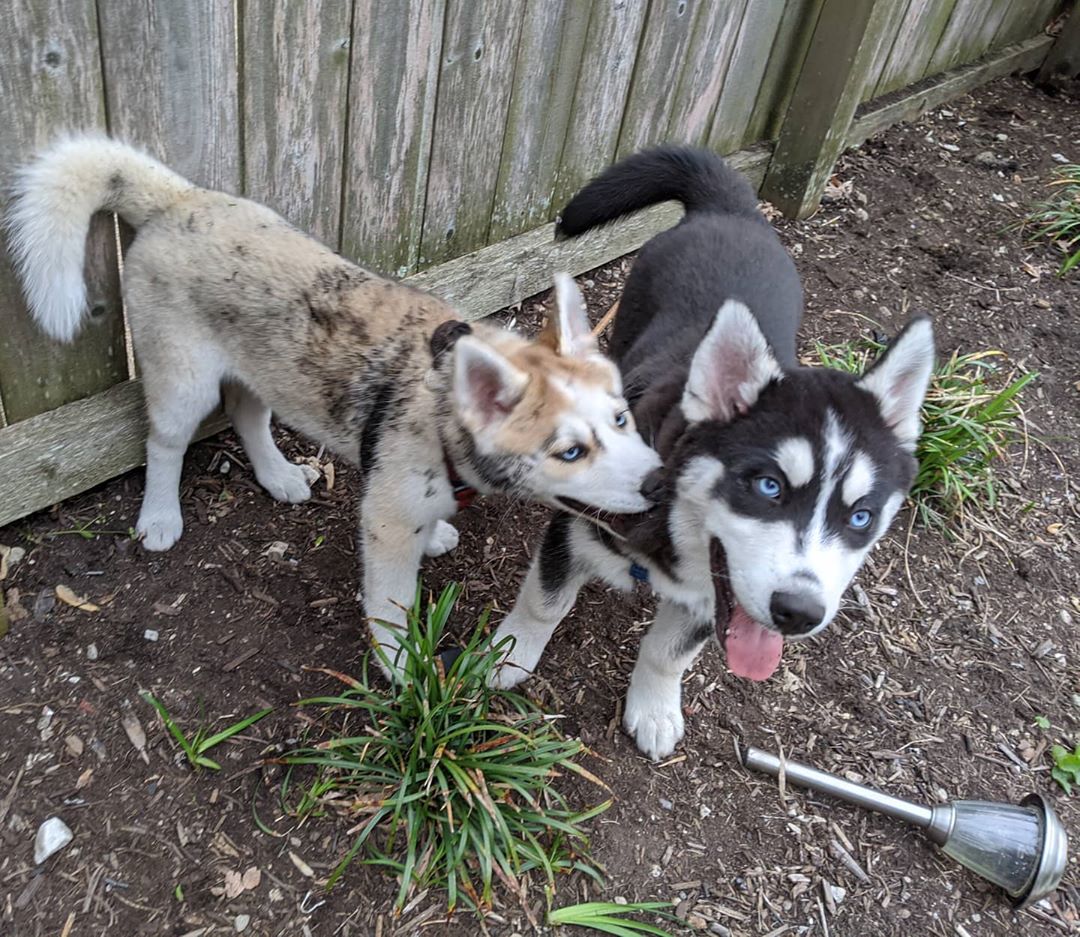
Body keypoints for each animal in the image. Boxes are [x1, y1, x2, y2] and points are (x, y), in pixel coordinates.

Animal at [10, 133, 656, 673]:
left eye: (622, 419)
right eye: (570, 451)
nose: (657, 483)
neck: (443, 406)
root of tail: (180, 199)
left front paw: (436, 536)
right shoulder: (386, 525)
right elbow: (391, 607)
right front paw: (403, 669)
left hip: (264, 365)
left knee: (248, 415)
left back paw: (278, 476)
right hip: (183, 381)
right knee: (164, 443)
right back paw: (161, 516)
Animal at [492, 147, 937, 759]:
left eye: (861, 517)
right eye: (768, 486)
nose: (798, 614)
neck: (670, 519)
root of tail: (730, 208)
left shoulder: (714, 595)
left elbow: (668, 653)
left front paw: (655, 708)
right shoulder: (574, 523)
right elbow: (545, 601)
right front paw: (507, 655)